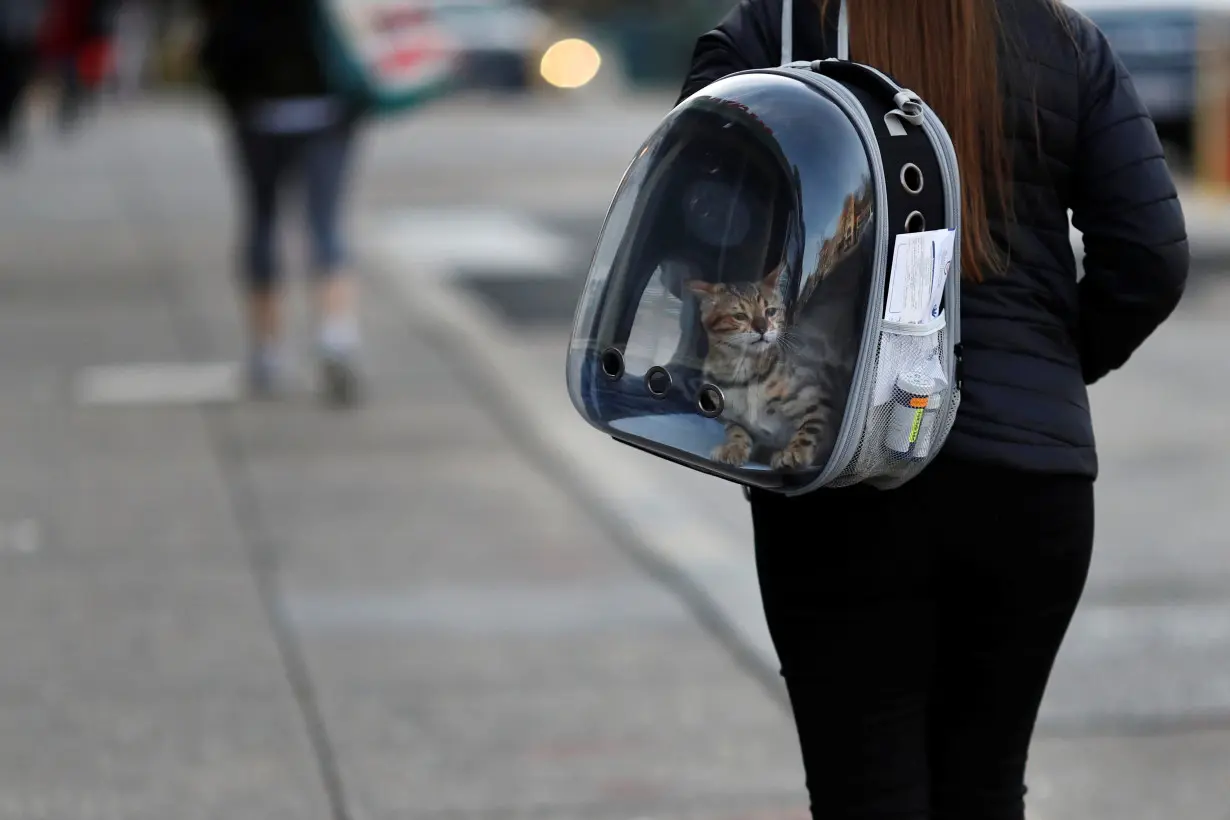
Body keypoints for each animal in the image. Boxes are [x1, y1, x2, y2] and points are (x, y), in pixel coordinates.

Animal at [688, 266, 851, 472]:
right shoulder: (729, 415)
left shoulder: (818, 400)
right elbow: (736, 430)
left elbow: (810, 428)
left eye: (770, 312)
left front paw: (794, 452)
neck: (744, 375)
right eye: (740, 316)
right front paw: (734, 447)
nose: (762, 328)